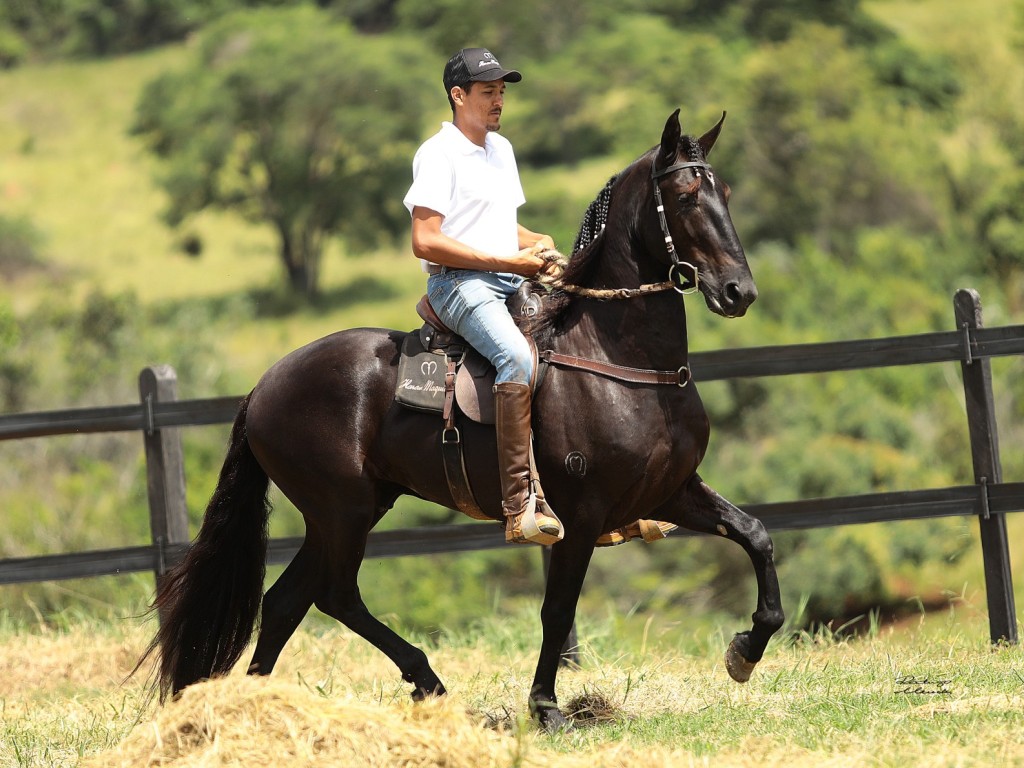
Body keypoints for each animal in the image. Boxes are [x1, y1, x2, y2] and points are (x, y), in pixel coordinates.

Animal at [140, 108, 782, 733]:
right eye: (686, 195)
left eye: (724, 191)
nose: (739, 291)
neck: (619, 360)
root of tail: (264, 387)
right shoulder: (582, 513)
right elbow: (558, 609)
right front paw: (545, 708)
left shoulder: (671, 490)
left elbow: (755, 535)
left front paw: (746, 650)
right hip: (343, 509)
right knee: (335, 595)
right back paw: (425, 680)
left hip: (349, 510)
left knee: (284, 602)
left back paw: (254, 710)